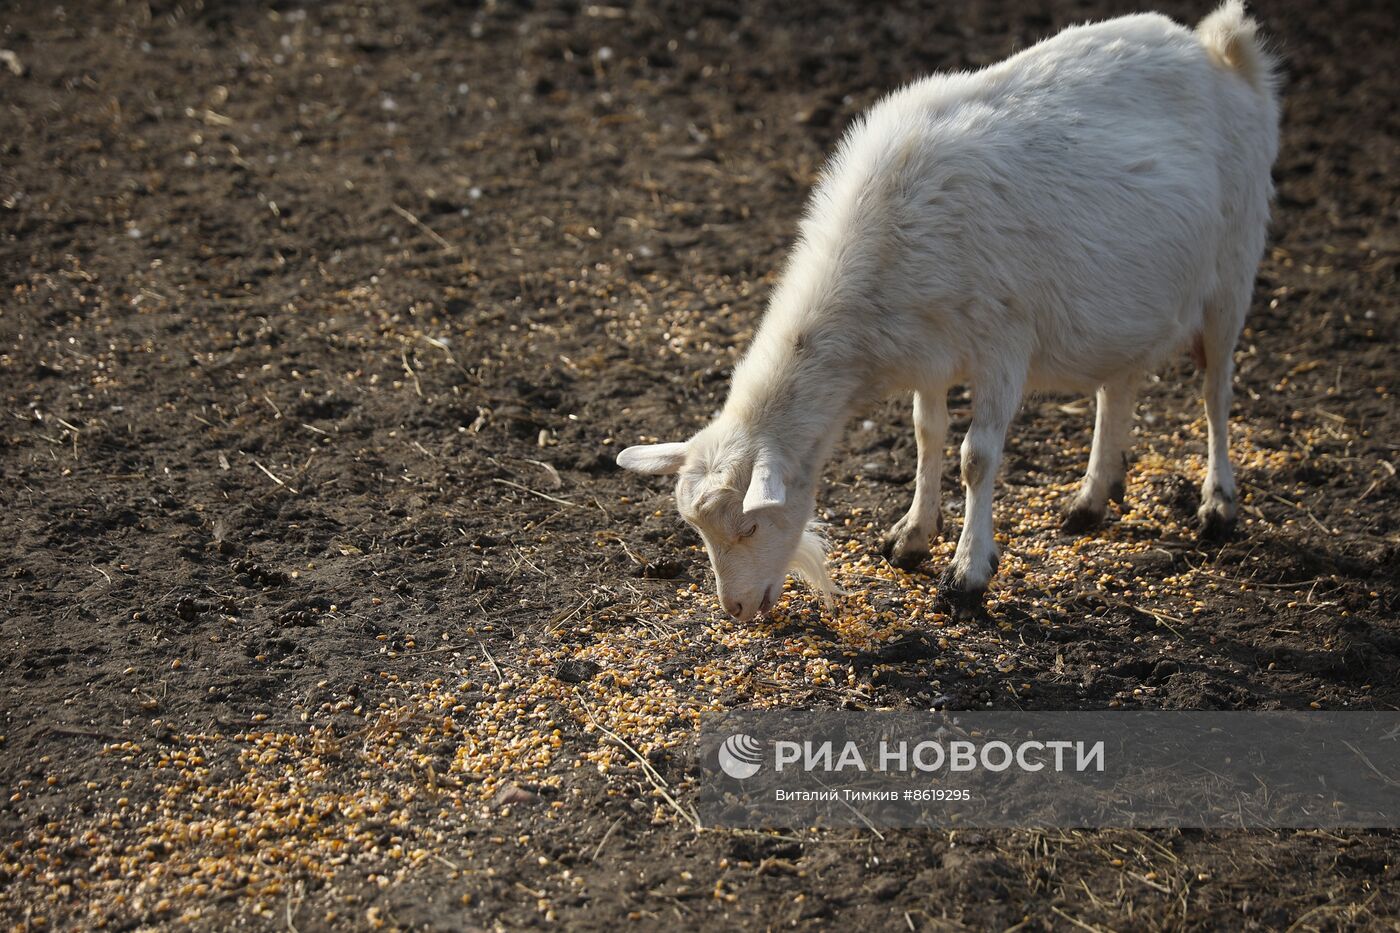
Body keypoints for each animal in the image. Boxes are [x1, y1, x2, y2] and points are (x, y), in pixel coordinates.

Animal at [624, 5, 1282, 624]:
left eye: (752, 525)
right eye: (699, 530)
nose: (735, 609)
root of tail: (1216, 50)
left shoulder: (1004, 345)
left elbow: (975, 457)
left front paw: (968, 571)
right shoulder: (930, 351)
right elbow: (927, 432)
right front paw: (913, 536)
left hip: (1233, 267)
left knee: (1215, 391)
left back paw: (1218, 503)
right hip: (1134, 301)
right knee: (1118, 386)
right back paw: (1090, 499)